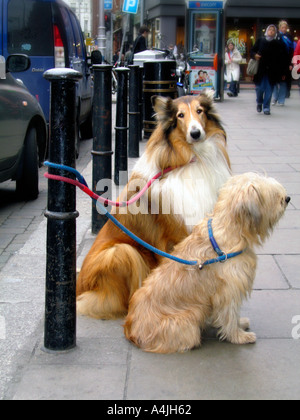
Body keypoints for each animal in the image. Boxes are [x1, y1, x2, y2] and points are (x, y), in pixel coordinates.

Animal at [76, 89, 231, 318]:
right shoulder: (174, 236)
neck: (191, 158)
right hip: (121, 252)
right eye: (180, 115)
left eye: (200, 111)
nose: (195, 133)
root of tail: (78, 285)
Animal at [123, 172, 290, 352]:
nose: (288, 198)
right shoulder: (229, 290)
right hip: (189, 318)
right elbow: (230, 314)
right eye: (274, 194)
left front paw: (240, 325)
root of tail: (130, 329)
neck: (228, 228)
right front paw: (238, 336)